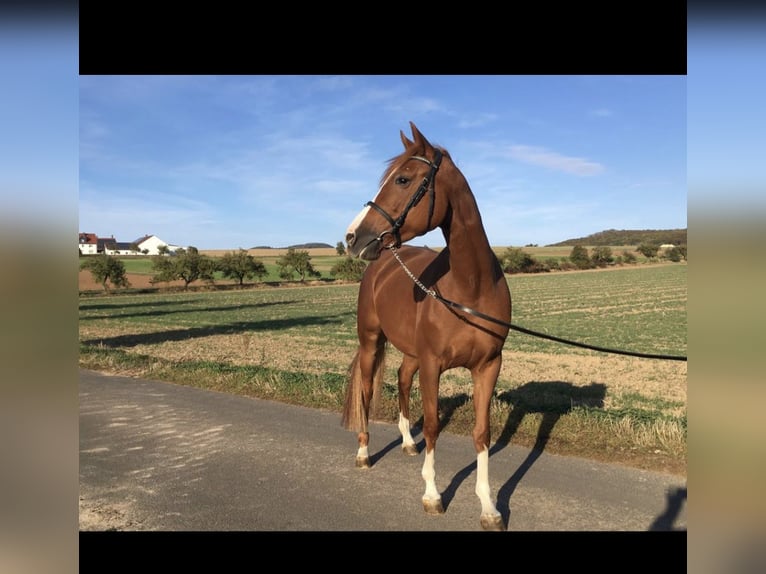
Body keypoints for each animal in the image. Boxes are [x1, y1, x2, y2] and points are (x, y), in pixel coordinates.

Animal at [342, 122, 512, 531]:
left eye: (403, 179)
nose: (352, 237)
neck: (471, 287)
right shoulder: (434, 365)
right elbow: (434, 425)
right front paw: (433, 495)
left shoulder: (488, 366)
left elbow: (482, 433)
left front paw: (489, 507)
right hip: (371, 343)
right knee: (367, 392)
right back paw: (364, 452)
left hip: (411, 353)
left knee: (403, 379)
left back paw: (406, 441)